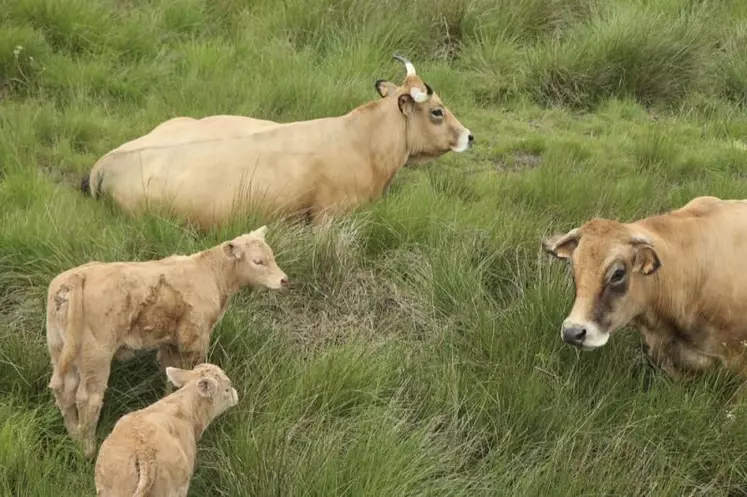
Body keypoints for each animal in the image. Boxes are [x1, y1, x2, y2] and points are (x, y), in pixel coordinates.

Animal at [45, 225, 288, 458]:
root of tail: (78, 276)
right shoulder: (195, 339)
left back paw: (74, 435)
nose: (284, 280)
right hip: (96, 355)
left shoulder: (170, 342)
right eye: (258, 261)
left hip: (61, 348)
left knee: (63, 390)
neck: (211, 274)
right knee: (88, 398)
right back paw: (88, 449)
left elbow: (170, 374)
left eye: (271, 256)